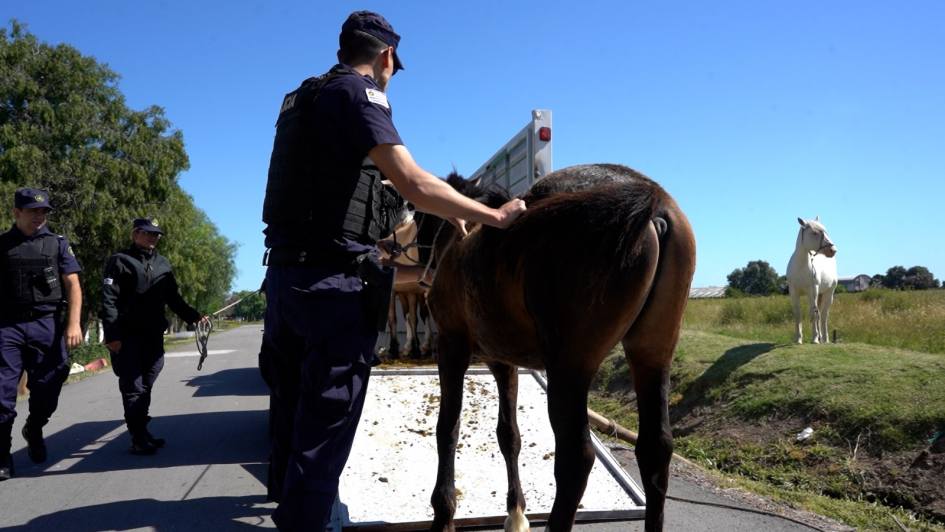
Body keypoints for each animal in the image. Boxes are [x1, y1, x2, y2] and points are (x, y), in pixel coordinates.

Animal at [420, 164, 696, 532]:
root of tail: (654, 205)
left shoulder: (451, 345)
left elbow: (447, 428)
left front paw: (444, 515)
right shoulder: (503, 362)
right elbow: (509, 435)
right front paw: (516, 513)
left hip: (570, 367)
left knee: (576, 459)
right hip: (653, 355)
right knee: (655, 450)